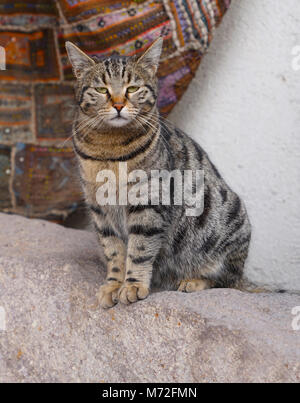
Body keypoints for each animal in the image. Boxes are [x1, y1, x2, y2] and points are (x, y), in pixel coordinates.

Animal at [65, 38, 251, 310]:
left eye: (132, 88)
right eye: (101, 89)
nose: (118, 104)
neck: (109, 147)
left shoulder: (149, 200)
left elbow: (140, 249)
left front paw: (132, 285)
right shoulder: (99, 208)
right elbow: (114, 251)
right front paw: (113, 284)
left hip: (228, 221)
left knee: (227, 281)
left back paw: (192, 281)